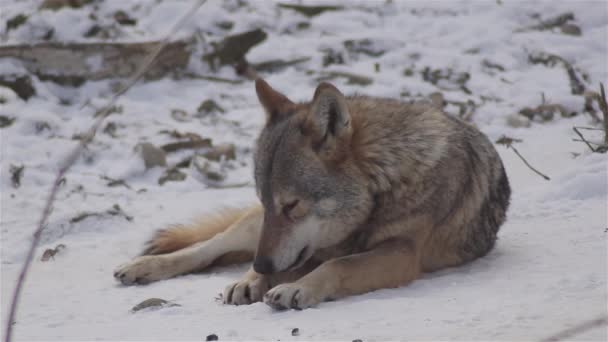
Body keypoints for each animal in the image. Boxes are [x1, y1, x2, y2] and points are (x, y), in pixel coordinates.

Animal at [113, 79, 508, 312]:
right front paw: (252, 281)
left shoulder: (402, 253)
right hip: (248, 229)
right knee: (205, 249)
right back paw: (143, 267)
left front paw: (291, 288)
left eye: (292, 206)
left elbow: (339, 264)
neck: (385, 179)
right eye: (266, 201)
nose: (262, 266)